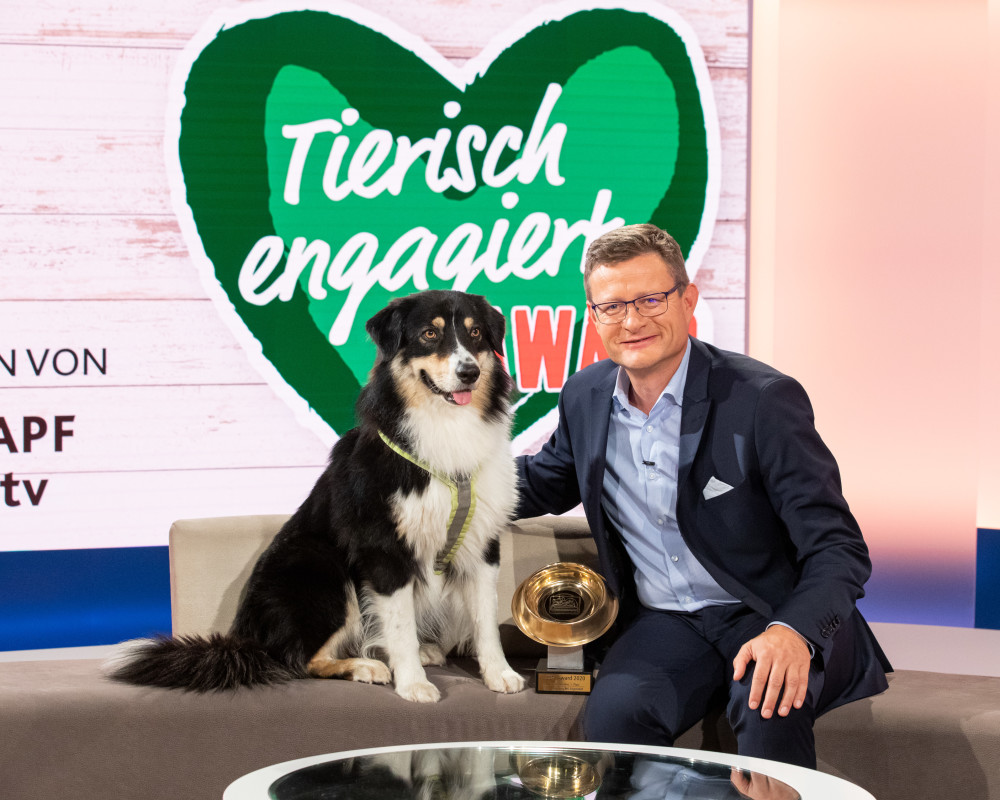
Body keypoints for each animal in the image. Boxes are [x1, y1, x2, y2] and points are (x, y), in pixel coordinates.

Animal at [109, 290, 525, 702]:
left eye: (475, 333)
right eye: (429, 334)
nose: (469, 372)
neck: (445, 424)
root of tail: (248, 640)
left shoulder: (482, 543)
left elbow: (485, 621)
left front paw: (500, 674)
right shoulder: (383, 547)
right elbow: (401, 625)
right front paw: (412, 683)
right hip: (321, 566)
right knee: (301, 660)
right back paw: (366, 666)